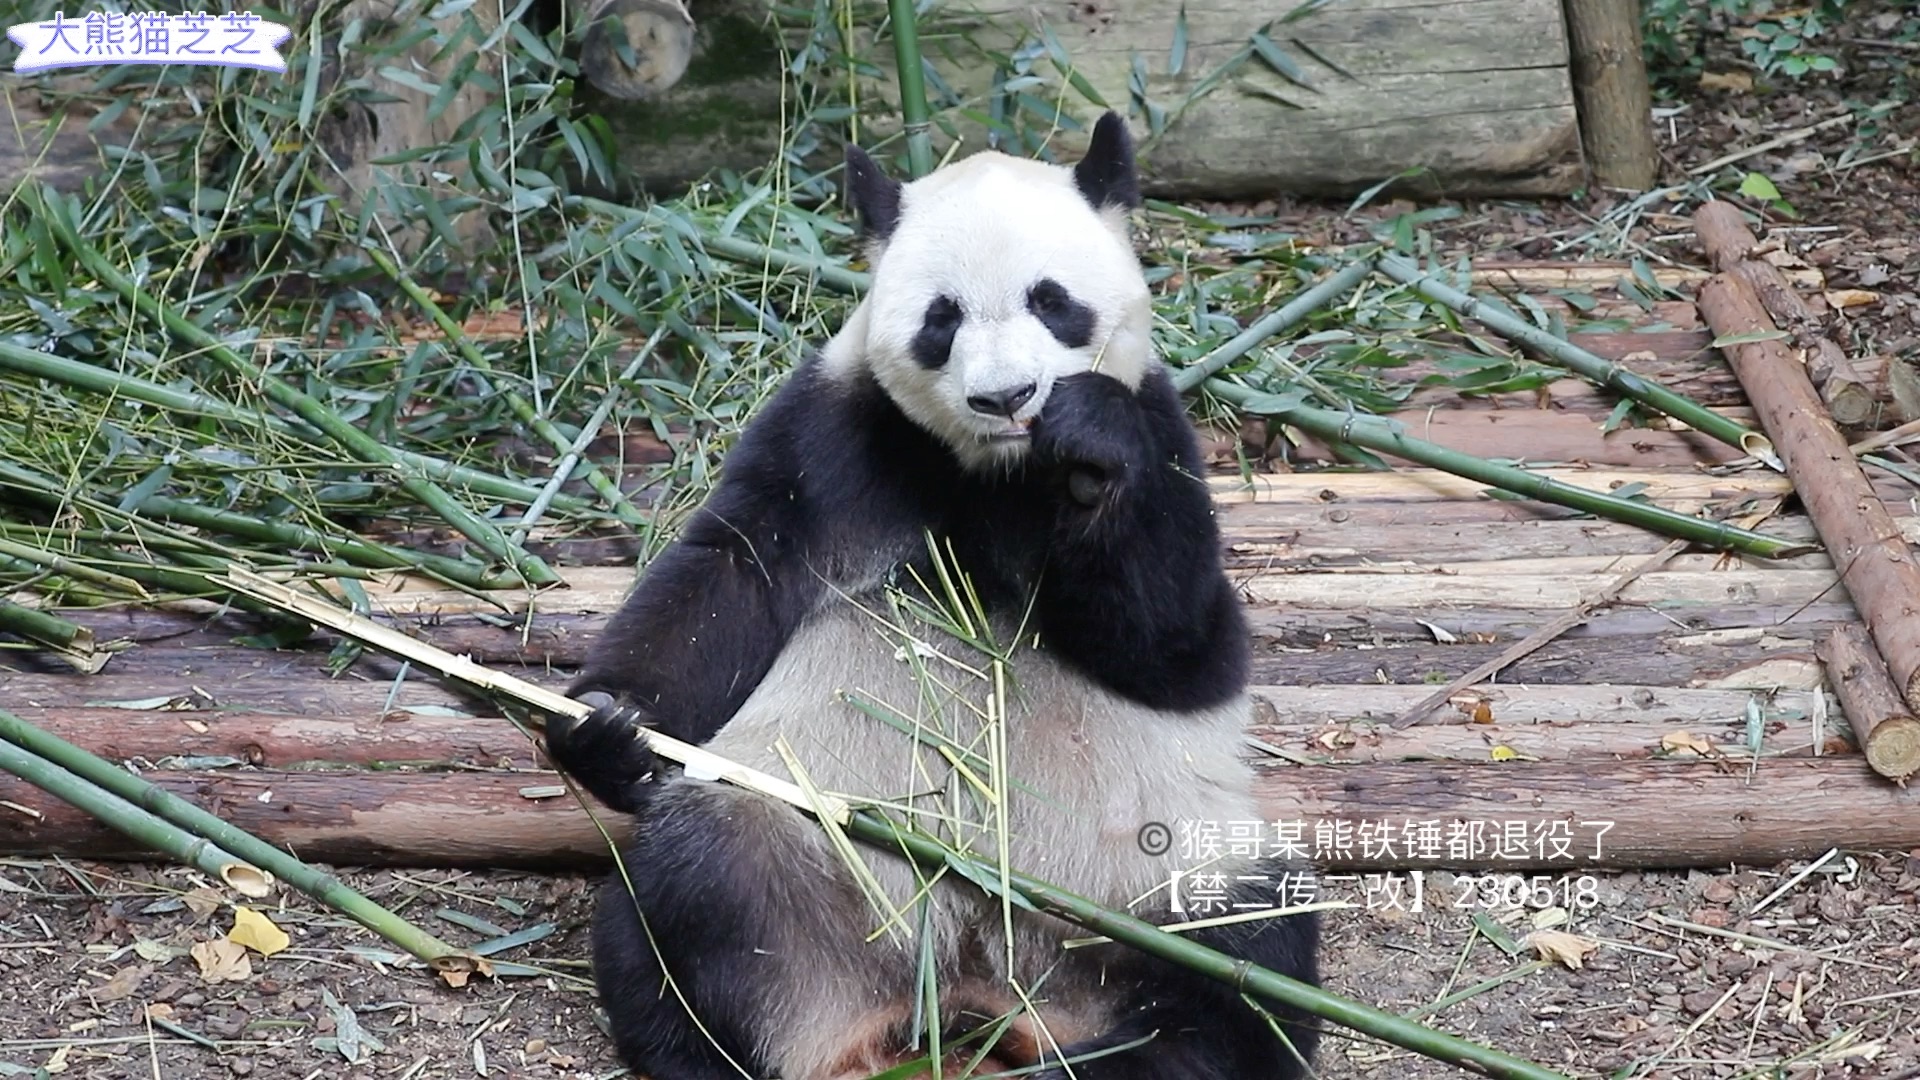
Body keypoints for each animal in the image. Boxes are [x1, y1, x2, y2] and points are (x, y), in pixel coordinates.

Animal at [541, 111, 1320, 1076]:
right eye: (940, 319)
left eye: (1051, 300)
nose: (1007, 396)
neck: (996, 470)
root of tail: (977, 974)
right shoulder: (837, 431)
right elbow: (729, 576)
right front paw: (605, 724)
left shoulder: (1160, 432)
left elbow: (1179, 644)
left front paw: (1089, 449)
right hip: (811, 841)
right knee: (682, 904)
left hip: (1164, 868)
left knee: (1247, 970)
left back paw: (1128, 1052)